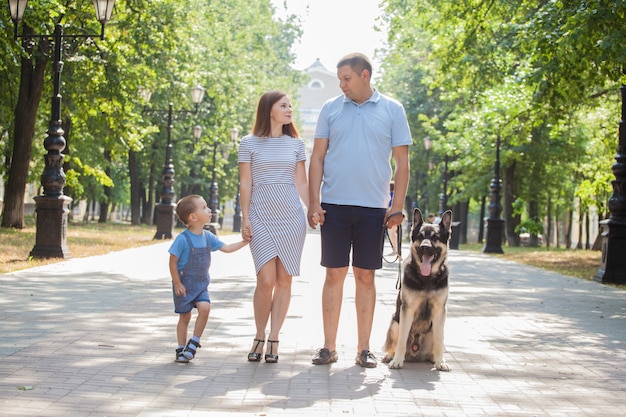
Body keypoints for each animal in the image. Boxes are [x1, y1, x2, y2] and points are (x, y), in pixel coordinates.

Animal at [380, 208, 448, 370]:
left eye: (435, 237)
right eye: (420, 236)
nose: (425, 247)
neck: (427, 279)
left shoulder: (439, 311)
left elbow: (438, 342)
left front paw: (440, 362)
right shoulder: (407, 310)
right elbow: (402, 340)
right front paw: (397, 361)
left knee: (437, 342)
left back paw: (435, 359)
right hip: (395, 323)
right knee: (395, 344)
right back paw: (390, 356)